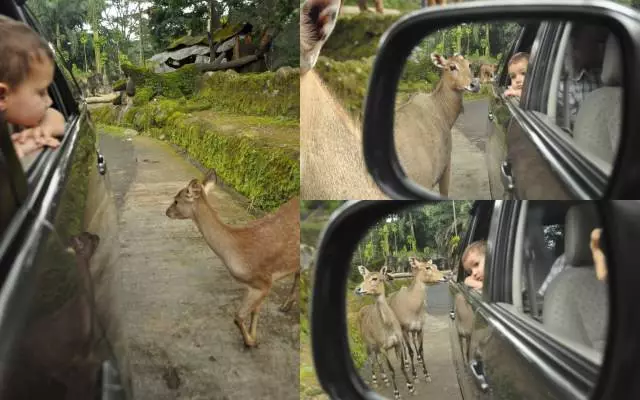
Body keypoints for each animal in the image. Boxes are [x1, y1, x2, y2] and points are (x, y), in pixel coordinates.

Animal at [168, 170, 302, 346]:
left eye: (176, 200)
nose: (166, 211)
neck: (236, 250)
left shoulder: (263, 281)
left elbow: (238, 317)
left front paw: (250, 342)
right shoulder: (255, 286)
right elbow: (253, 312)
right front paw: (253, 337)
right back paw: (286, 306)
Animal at [356, 264, 416, 398]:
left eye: (375, 278)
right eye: (363, 277)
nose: (358, 289)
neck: (388, 326)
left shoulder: (397, 342)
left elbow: (402, 366)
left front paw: (411, 387)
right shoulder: (383, 347)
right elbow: (391, 369)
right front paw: (397, 393)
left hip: (376, 346)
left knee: (378, 360)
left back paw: (385, 379)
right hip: (367, 343)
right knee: (372, 361)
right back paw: (375, 381)